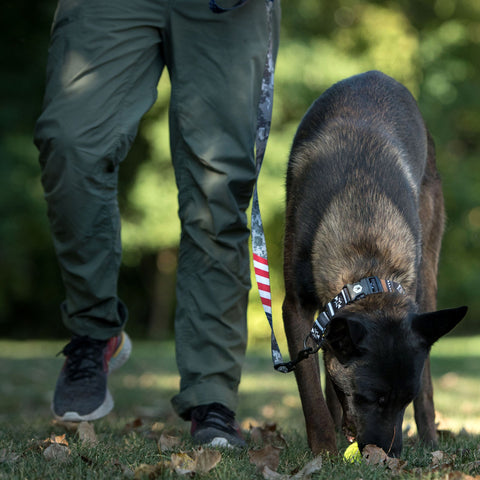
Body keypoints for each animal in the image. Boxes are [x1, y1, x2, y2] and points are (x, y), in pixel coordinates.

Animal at [284, 69, 466, 456]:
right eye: (372, 398)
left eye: (403, 400)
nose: (389, 457)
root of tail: (373, 74)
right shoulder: (295, 308)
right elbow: (311, 393)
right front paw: (324, 451)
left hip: (428, 280)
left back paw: (429, 441)